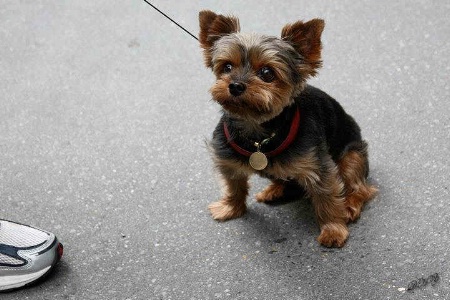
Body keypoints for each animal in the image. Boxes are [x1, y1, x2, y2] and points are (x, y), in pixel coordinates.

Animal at [199, 10, 378, 247]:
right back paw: (274, 190)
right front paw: (230, 208)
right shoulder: (226, 159)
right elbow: (233, 186)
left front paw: (333, 230)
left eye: (267, 72)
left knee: (361, 188)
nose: (235, 85)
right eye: (227, 67)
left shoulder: (318, 166)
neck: (257, 131)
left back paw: (349, 204)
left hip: (352, 156)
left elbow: (327, 198)